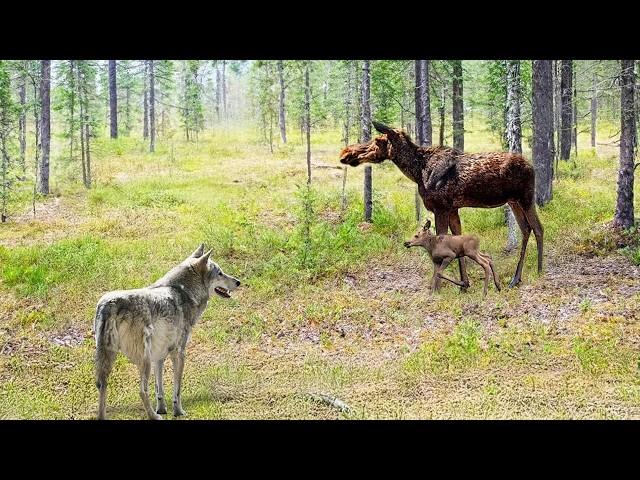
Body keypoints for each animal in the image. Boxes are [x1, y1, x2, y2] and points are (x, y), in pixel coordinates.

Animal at [338, 122, 544, 290]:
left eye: (377, 140)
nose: (345, 153)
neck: (417, 172)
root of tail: (531, 167)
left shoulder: (441, 207)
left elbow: (441, 242)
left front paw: (437, 286)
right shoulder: (452, 209)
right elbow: (457, 240)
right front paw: (464, 284)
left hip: (526, 198)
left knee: (538, 228)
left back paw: (539, 270)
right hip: (513, 201)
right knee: (526, 229)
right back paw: (516, 279)